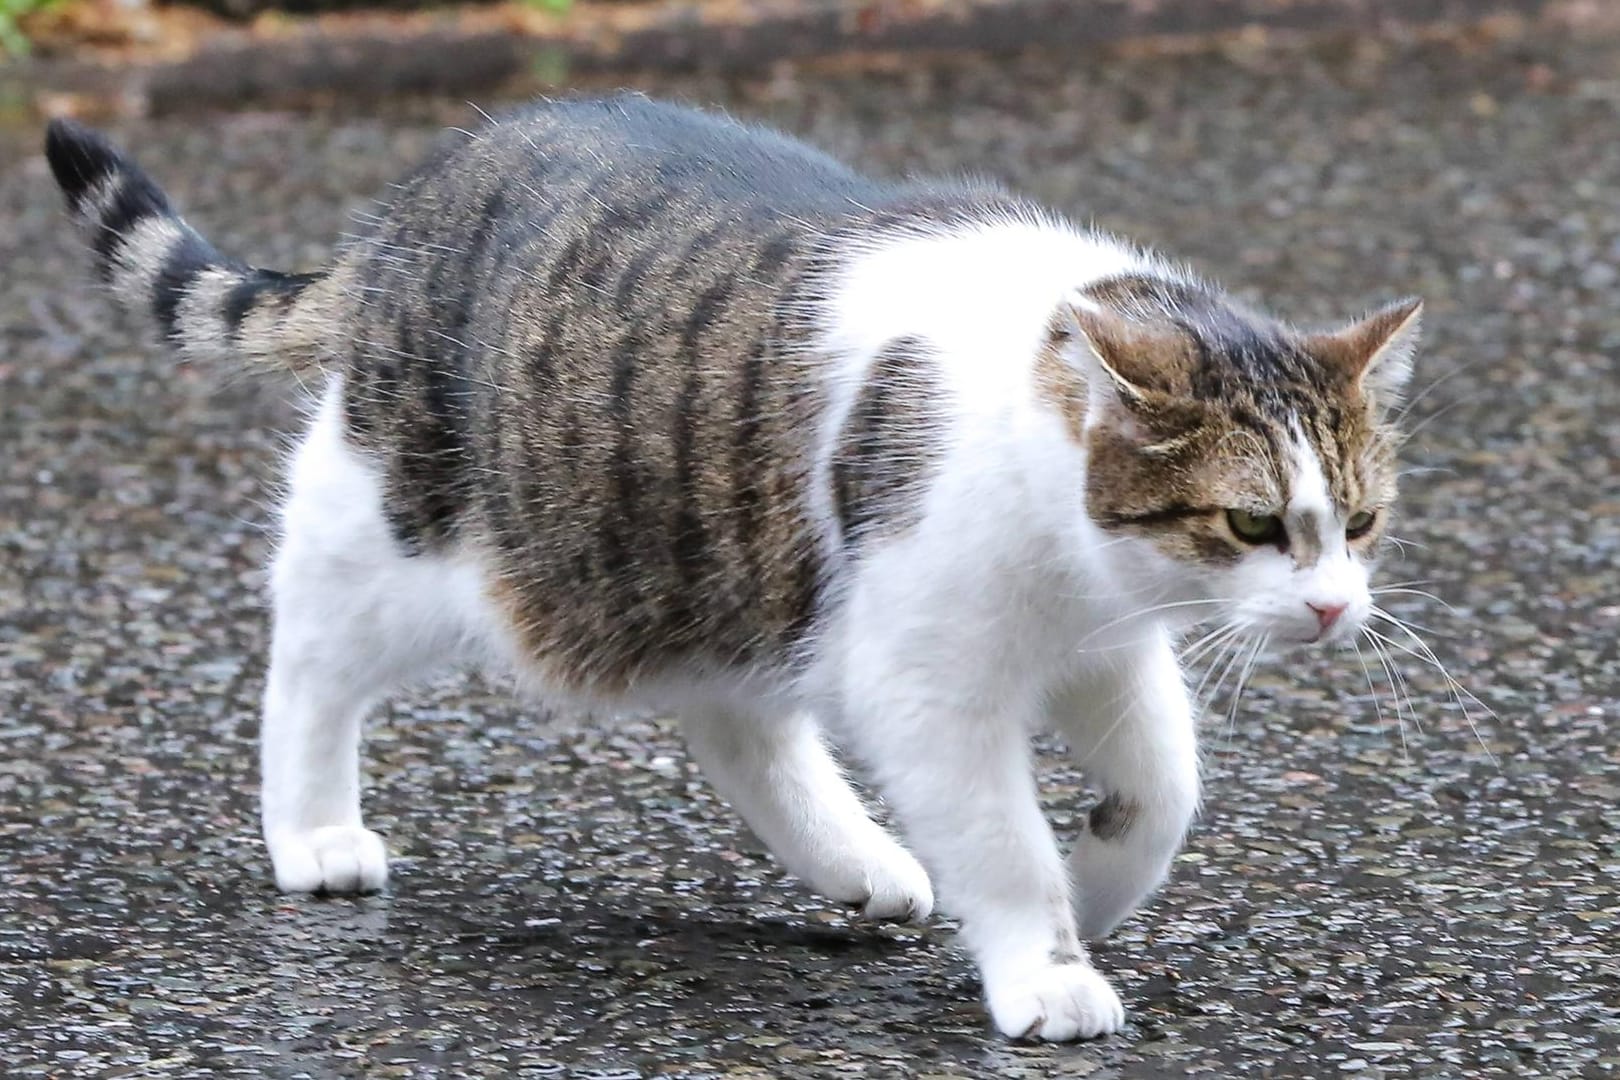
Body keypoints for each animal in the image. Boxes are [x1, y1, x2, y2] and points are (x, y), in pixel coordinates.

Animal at [44, 97, 1419, 1042]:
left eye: (1358, 521)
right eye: (1253, 525)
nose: (1335, 609)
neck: (1075, 559)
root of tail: (417, 197)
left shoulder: (1099, 644)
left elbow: (1164, 788)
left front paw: (1098, 885)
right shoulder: (929, 676)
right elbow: (1002, 836)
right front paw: (1045, 961)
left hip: (719, 562)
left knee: (735, 721)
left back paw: (857, 860)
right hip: (406, 528)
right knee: (310, 657)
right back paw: (314, 829)